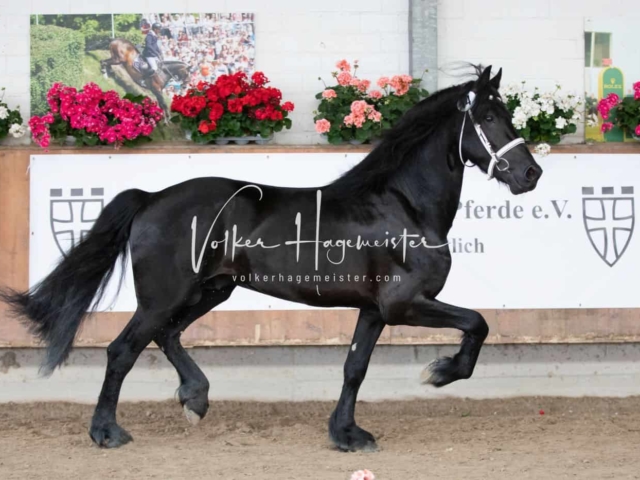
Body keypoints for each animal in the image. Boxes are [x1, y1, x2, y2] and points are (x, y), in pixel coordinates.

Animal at [0, 65, 540, 452]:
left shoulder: (372, 310)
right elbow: (477, 323)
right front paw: (441, 372)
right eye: (488, 118)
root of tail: (152, 198)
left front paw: (347, 435)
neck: (402, 205)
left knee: (167, 335)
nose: (530, 174)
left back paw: (195, 398)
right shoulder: (405, 304)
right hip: (164, 296)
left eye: (507, 115)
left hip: (211, 290)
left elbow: (355, 368)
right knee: (123, 349)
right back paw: (107, 433)